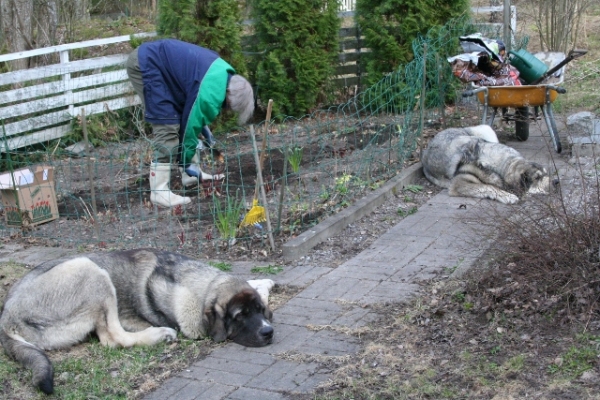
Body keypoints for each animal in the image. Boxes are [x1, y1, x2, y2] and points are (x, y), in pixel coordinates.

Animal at [0, 248, 274, 396]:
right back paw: (159, 334)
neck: (199, 285)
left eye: (259, 311)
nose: (268, 332)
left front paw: (266, 284)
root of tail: (6, 319)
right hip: (89, 269)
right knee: (113, 338)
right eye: (240, 316)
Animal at [420, 125, 552, 205]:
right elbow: (488, 187)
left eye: (546, 173)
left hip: (486, 129)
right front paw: (508, 196)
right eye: (537, 178)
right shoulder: (458, 184)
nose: (555, 182)